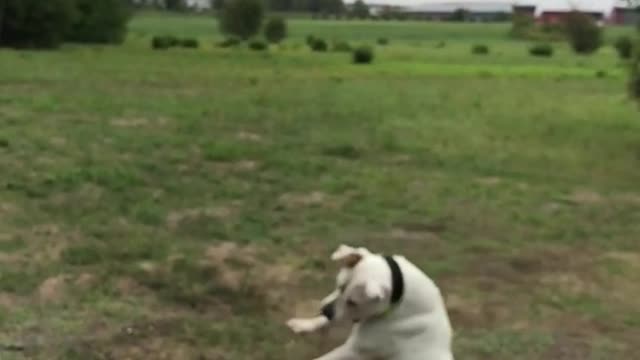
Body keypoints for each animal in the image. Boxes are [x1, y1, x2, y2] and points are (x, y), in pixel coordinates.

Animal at [284, 245, 456, 360]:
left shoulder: (353, 350)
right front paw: (304, 324)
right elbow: (324, 320)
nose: (325, 310)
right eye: (339, 285)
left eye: (353, 302)